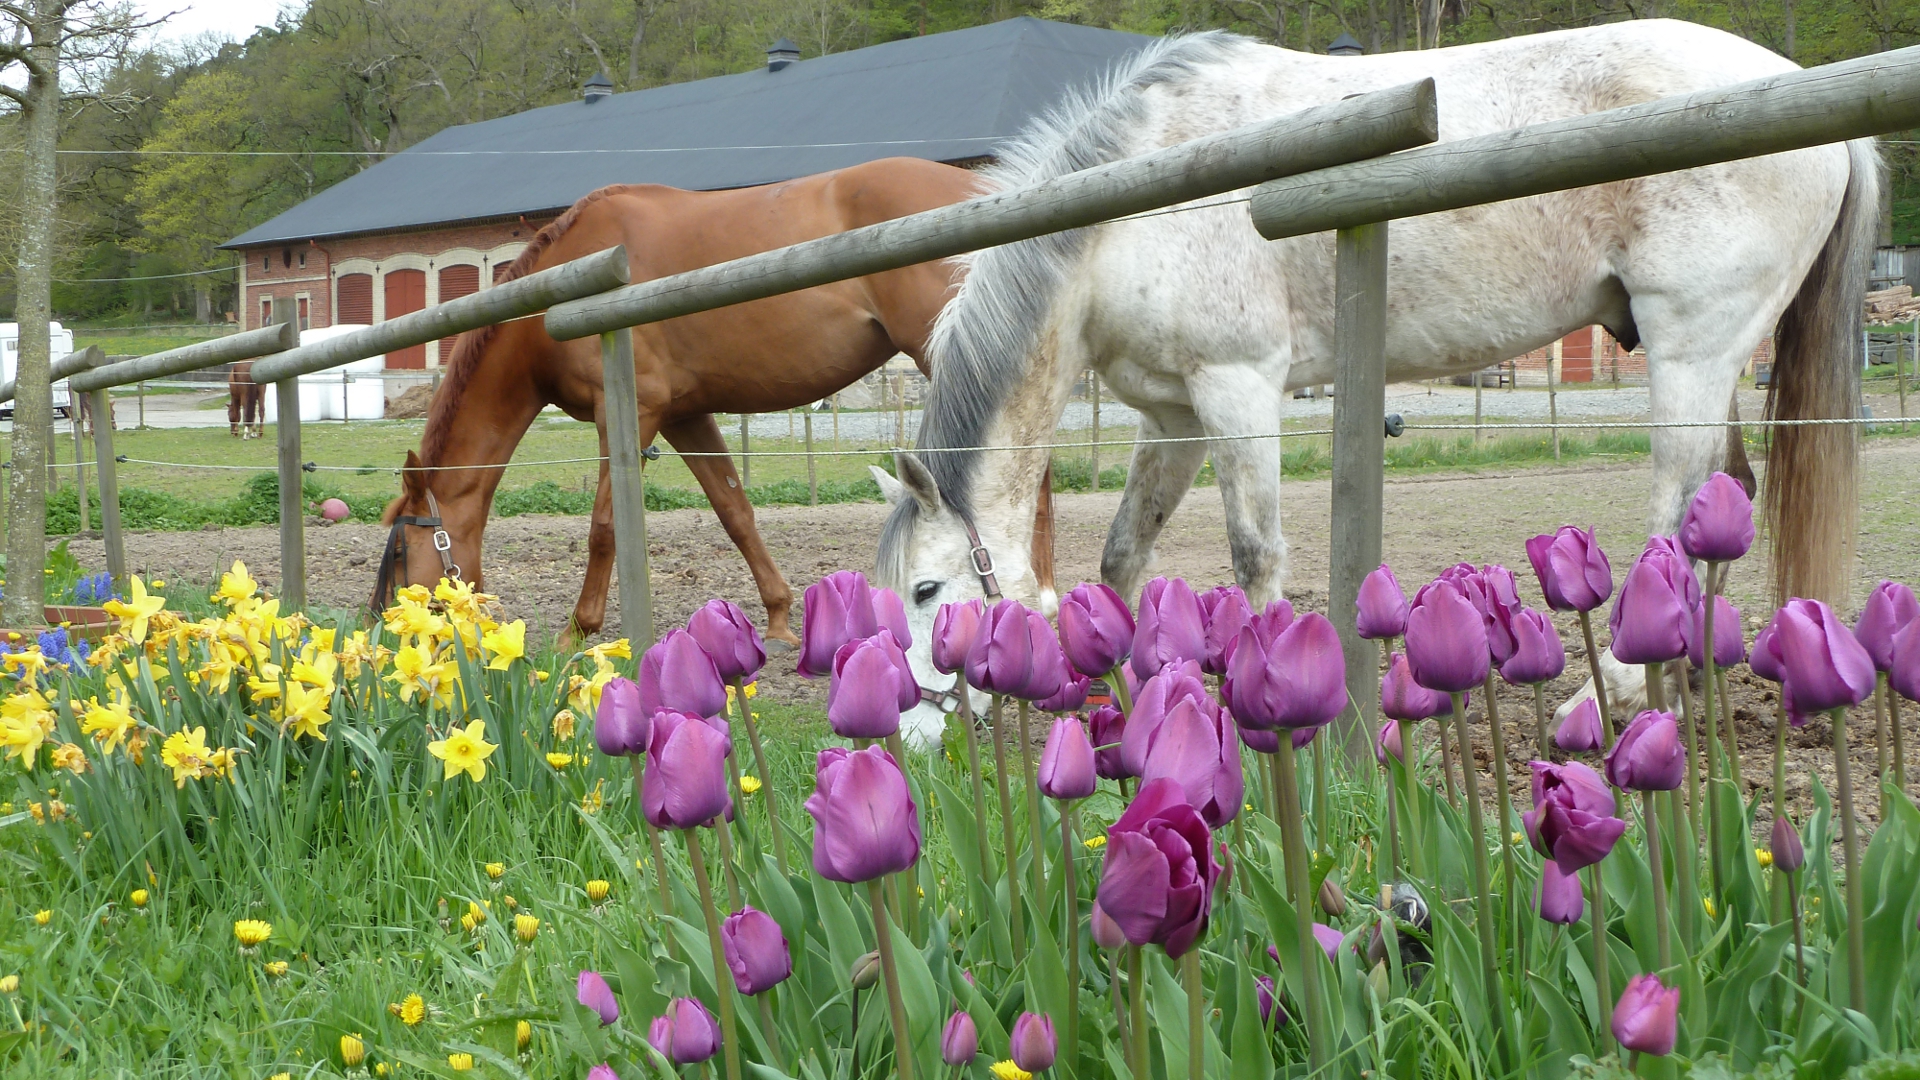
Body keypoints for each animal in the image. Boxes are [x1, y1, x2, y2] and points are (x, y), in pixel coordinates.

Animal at [374, 155, 1059, 641]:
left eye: (402, 551)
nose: (384, 623)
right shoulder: (684, 416)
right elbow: (735, 512)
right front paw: (779, 618)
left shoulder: (630, 414)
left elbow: (603, 528)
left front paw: (578, 631)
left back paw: (1041, 592)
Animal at [879, 21, 1866, 737]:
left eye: (927, 591)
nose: (913, 738)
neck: (1144, 201)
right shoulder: (1175, 415)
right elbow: (1123, 555)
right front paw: (1109, 699)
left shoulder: (1237, 389)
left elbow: (1255, 555)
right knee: (1725, 501)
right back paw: (1682, 686)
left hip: (1690, 350)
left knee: (1676, 510)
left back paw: (1609, 697)